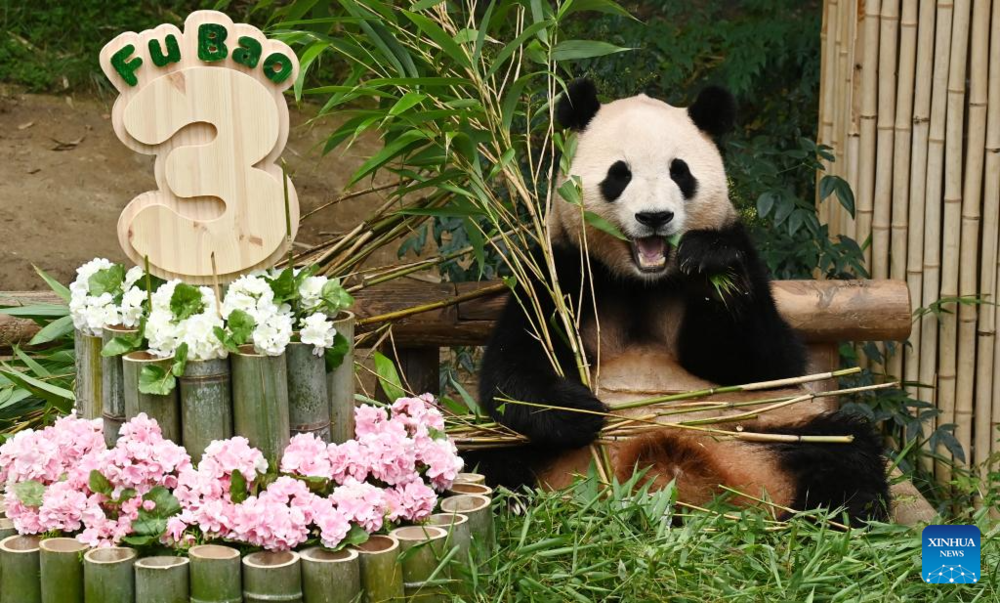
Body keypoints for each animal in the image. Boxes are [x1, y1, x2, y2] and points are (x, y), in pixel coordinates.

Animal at [474, 79, 891, 524]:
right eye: (619, 175)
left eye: (680, 171)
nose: (654, 217)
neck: (642, 282)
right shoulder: (557, 271)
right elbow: (513, 366)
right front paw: (581, 409)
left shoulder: (741, 253)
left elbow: (766, 362)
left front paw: (710, 262)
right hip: (514, 445)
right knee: (481, 454)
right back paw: (513, 501)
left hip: (762, 433)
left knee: (846, 446)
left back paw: (839, 513)